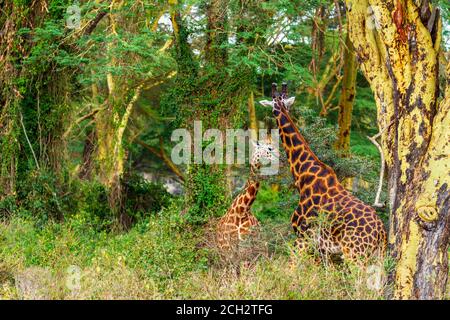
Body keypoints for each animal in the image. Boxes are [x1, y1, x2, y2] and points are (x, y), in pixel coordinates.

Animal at [260, 82, 386, 262]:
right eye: (287, 107)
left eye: (272, 110)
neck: (302, 175)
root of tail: (381, 232)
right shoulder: (323, 248)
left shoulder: (304, 237)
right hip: (377, 256)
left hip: (355, 254)